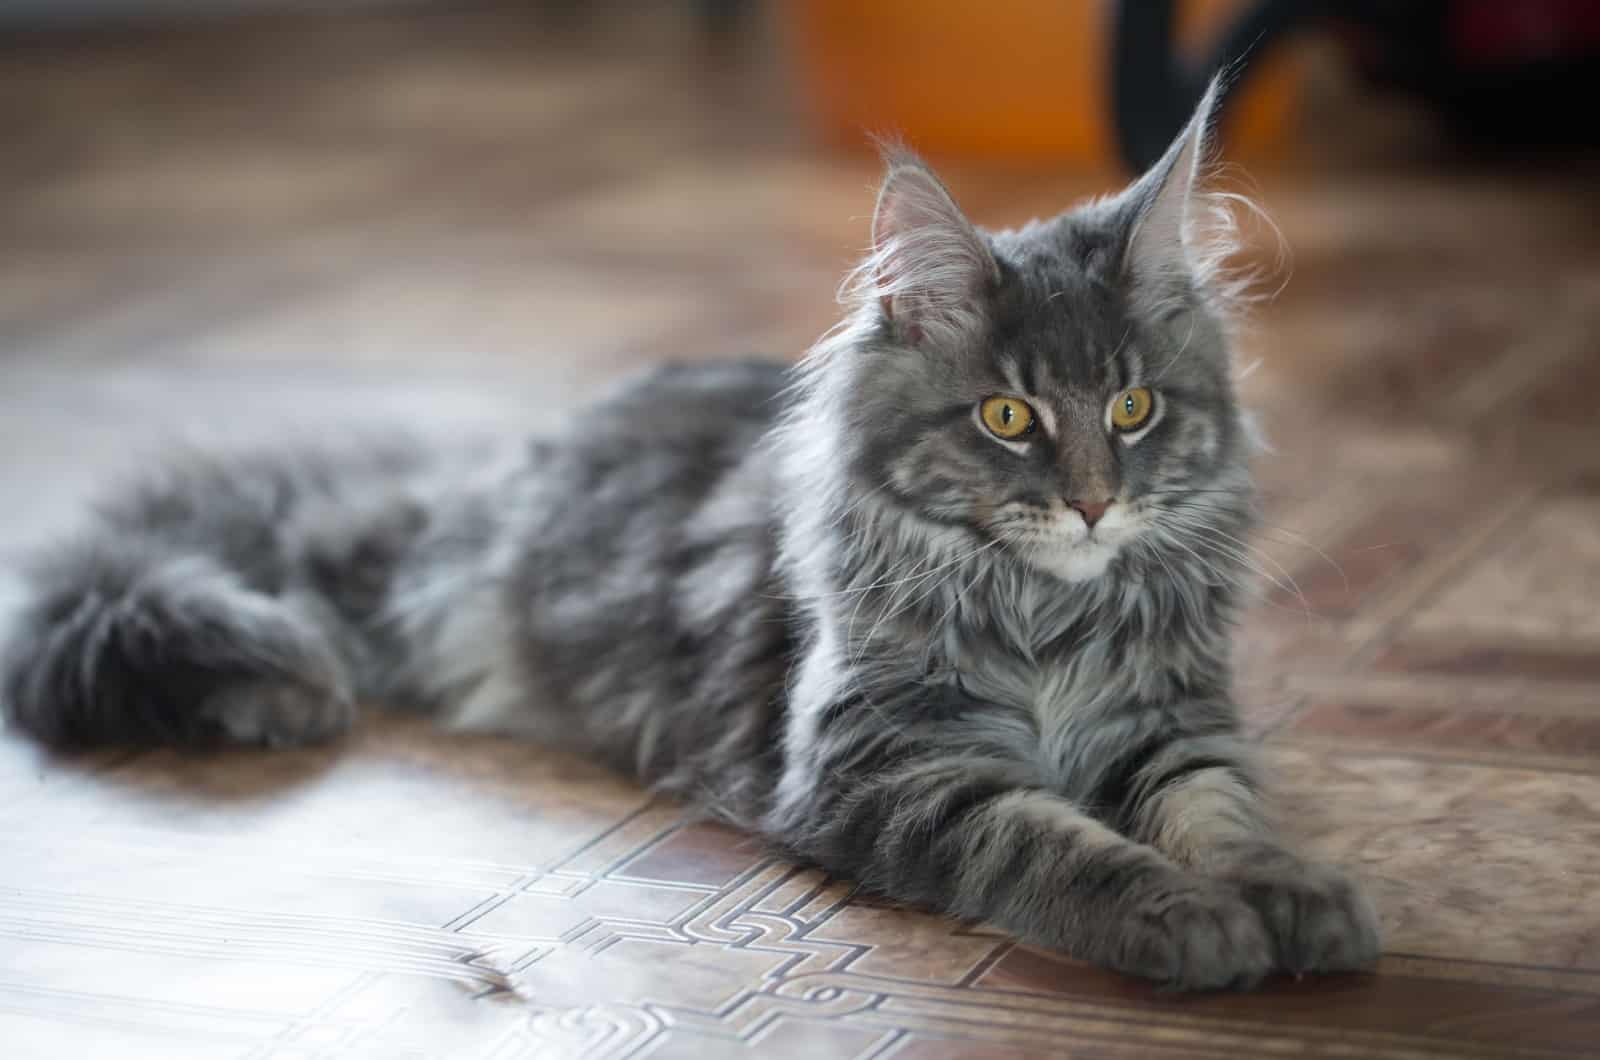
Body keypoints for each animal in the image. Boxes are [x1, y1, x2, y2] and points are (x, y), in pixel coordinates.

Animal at [0, 85, 1376, 999]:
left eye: (1134, 409)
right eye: (1009, 418)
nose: (1094, 503)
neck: (1052, 618)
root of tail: (519, 460)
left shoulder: (1171, 722)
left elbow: (1223, 816)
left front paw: (1294, 897)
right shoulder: (894, 768)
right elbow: (1061, 844)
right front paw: (1189, 921)